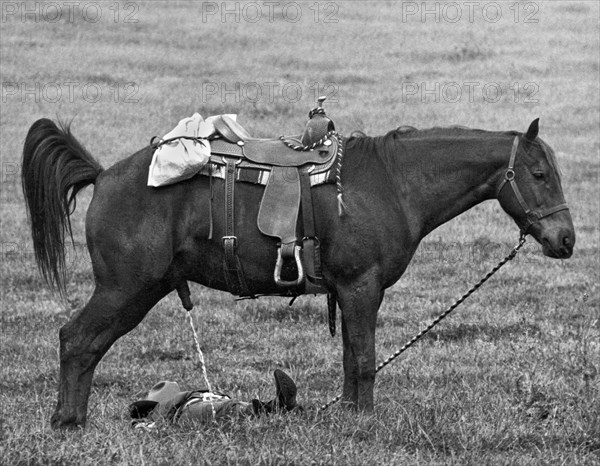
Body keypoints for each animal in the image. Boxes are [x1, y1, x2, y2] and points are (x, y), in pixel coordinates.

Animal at [21, 117, 576, 430]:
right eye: (539, 174)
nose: (566, 240)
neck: (393, 183)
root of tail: (104, 176)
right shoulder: (361, 287)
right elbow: (365, 359)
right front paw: (363, 425)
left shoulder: (352, 292)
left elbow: (352, 357)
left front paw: (349, 414)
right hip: (126, 289)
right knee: (77, 340)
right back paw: (67, 421)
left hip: (138, 288)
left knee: (84, 344)